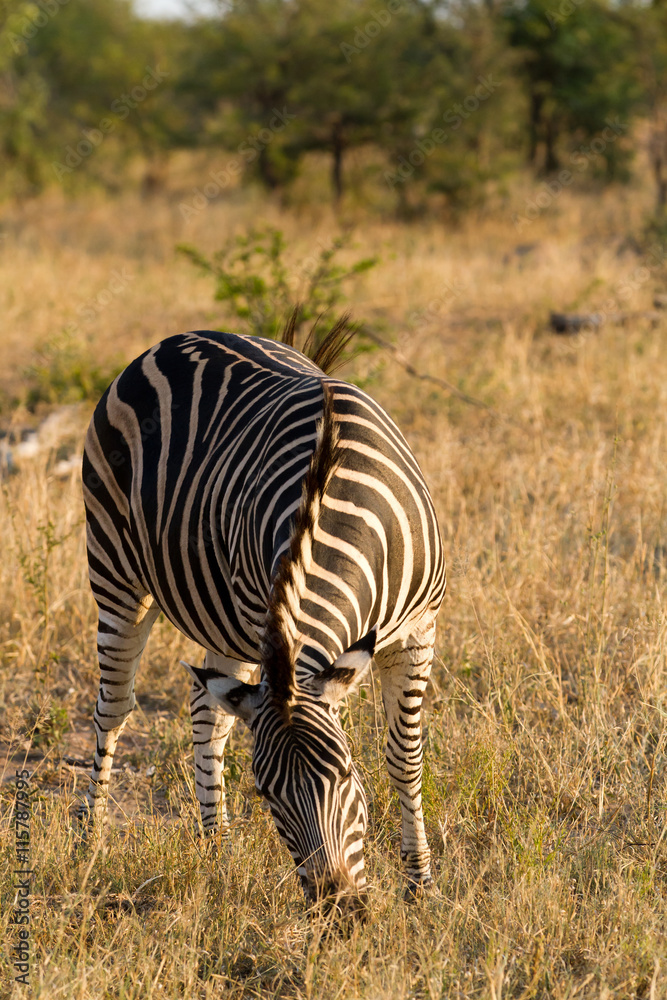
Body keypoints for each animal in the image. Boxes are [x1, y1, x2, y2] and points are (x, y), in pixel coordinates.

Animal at [78, 319, 446, 911]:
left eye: (347, 774)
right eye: (266, 794)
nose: (337, 905)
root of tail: (178, 339)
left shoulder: (419, 629)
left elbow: (405, 758)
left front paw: (421, 884)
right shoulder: (269, 623)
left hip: (219, 617)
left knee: (207, 712)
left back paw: (218, 853)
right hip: (116, 572)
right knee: (113, 708)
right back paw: (91, 840)